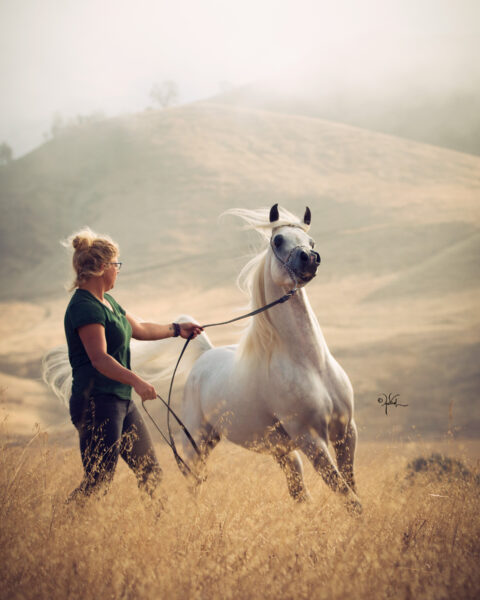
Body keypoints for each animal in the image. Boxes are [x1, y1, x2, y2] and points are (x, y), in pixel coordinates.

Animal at [180, 206, 360, 510]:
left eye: (311, 241)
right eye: (278, 240)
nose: (310, 257)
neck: (312, 366)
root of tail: (205, 356)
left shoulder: (346, 431)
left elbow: (352, 490)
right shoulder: (311, 440)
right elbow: (348, 496)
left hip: (281, 451)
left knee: (298, 491)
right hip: (198, 442)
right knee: (193, 485)